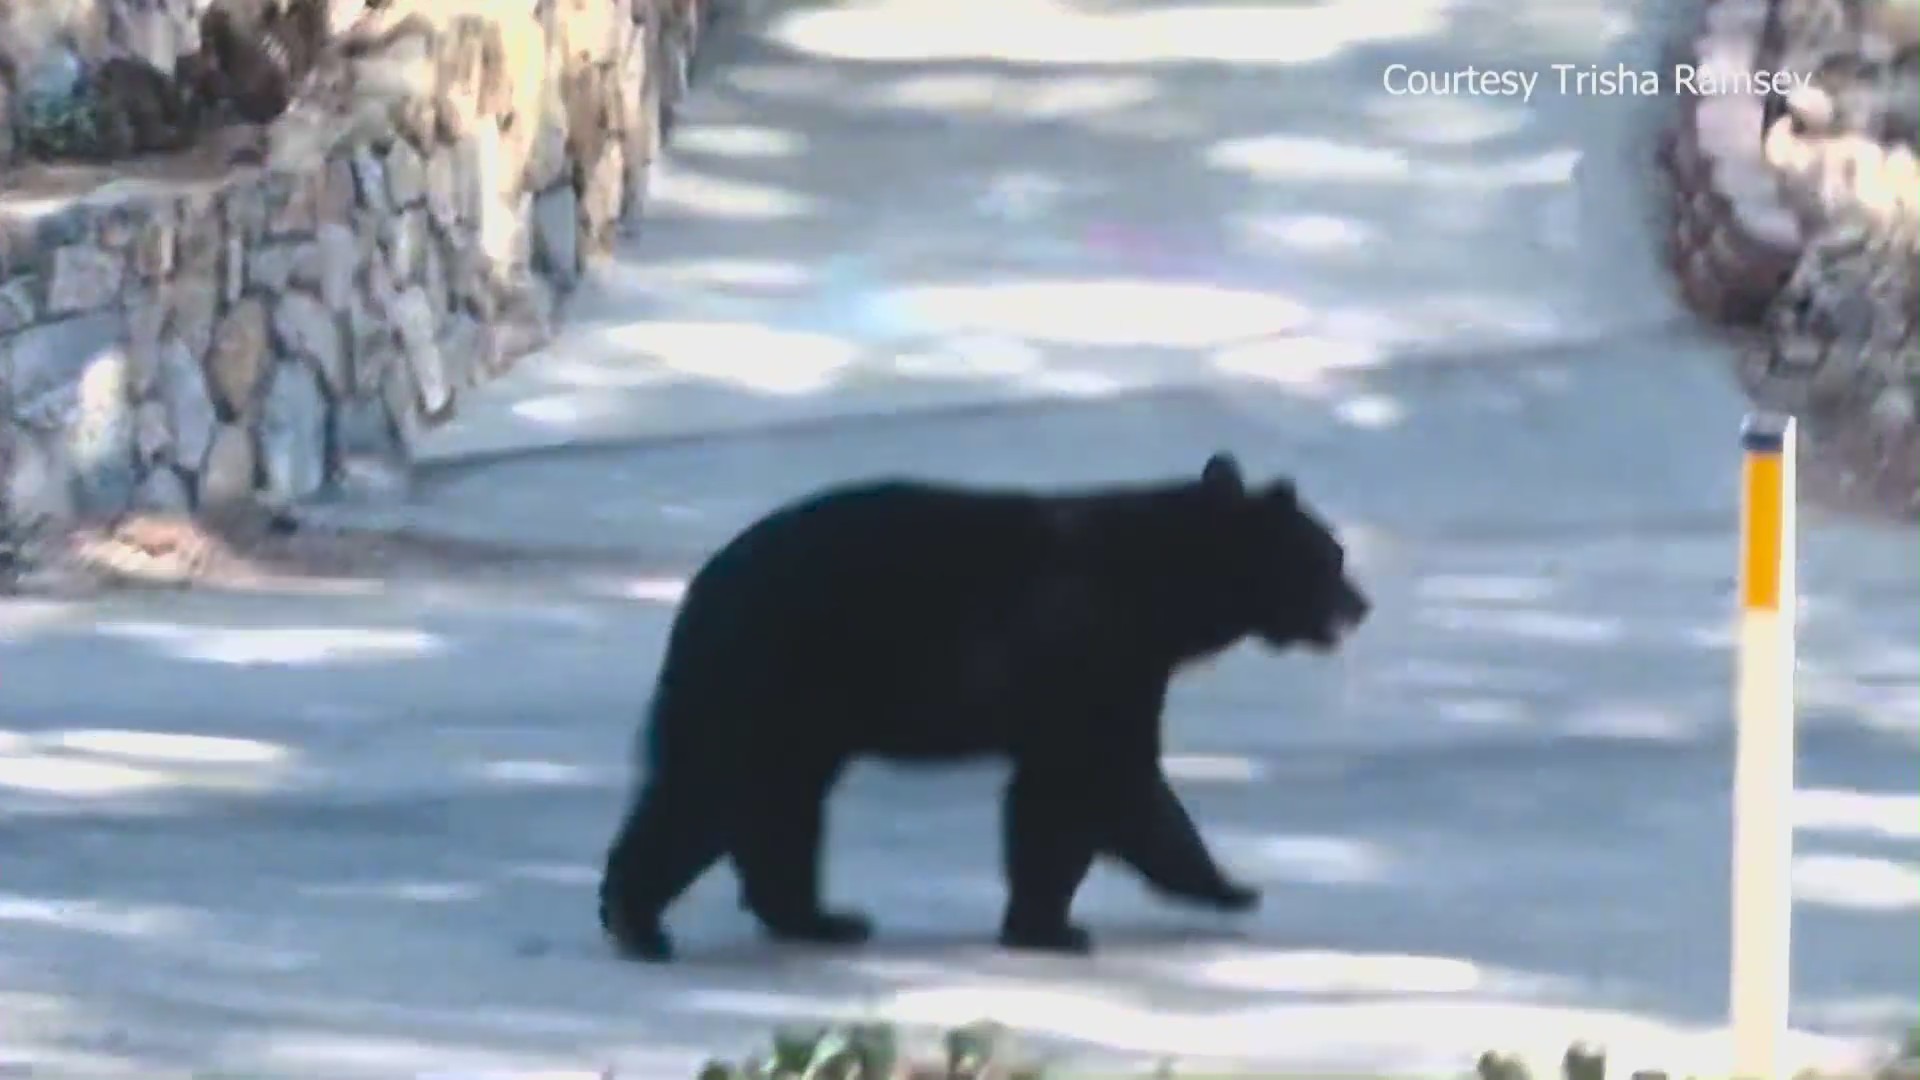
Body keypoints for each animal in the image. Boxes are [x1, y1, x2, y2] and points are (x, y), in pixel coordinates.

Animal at [599, 449, 1367, 953]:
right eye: (1330, 557)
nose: (1361, 605)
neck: (1162, 593)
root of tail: (700, 588)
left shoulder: (1115, 671)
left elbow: (1081, 788)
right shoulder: (1090, 647)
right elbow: (1096, 780)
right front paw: (1068, 924)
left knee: (776, 801)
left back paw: (817, 917)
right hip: (774, 673)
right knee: (716, 788)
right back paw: (640, 922)